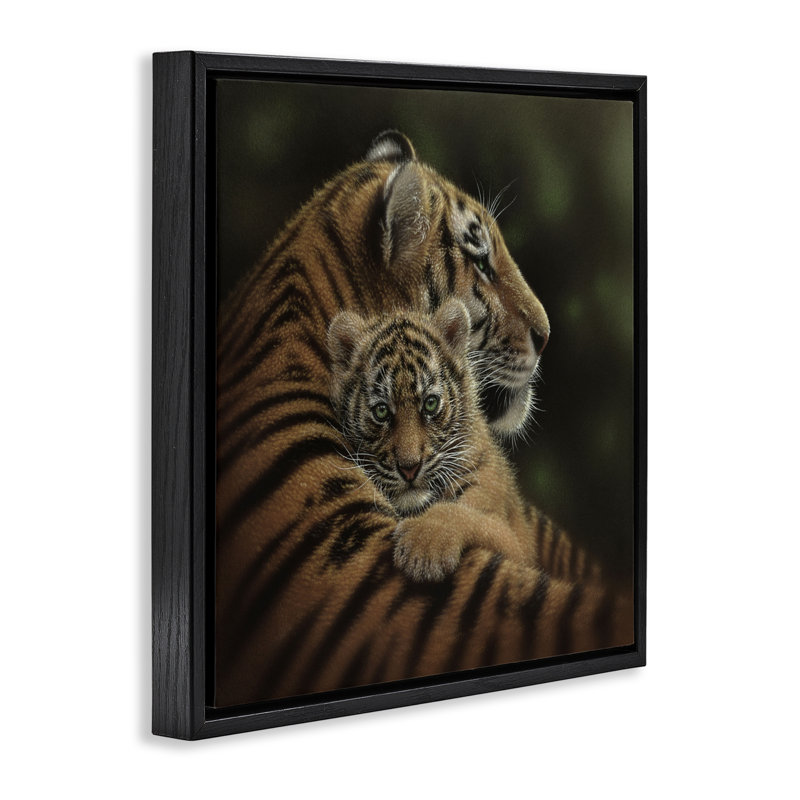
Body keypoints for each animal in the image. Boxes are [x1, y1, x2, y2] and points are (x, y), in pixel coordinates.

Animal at [327, 299, 538, 582]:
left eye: (430, 403)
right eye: (381, 411)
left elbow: (465, 515)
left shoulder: (515, 543)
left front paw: (424, 548)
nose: (409, 468)